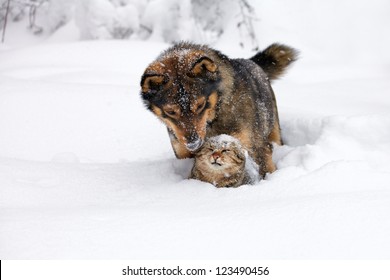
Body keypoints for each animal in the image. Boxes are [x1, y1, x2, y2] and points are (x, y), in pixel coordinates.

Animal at [142, 42, 298, 176]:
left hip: (274, 133)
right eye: (170, 112)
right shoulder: (183, 154)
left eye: (200, 105)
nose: (193, 143)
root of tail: (251, 62)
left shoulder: (257, 148)